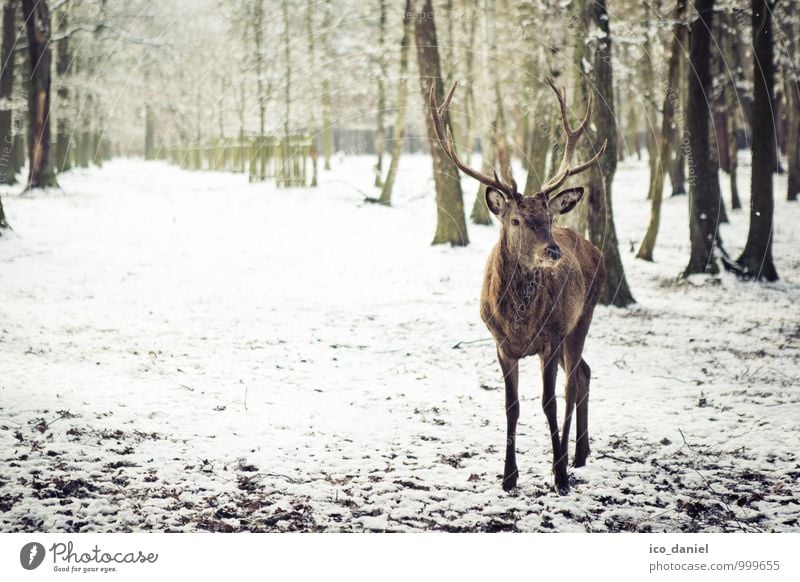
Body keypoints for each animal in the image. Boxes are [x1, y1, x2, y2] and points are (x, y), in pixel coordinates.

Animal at [432, 80, 608, 496]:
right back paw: (581, 453)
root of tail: (593, 247)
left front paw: (558, 478)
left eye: (547, 217)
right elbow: (511, 406)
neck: (520, 323)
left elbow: (548, 402)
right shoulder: (501, 345)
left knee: (574, 382)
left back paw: (569, 460)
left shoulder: (552, 336)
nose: (552, 250)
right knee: (584, 372)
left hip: (582, 317)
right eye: (515, 220)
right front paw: (509, 477)